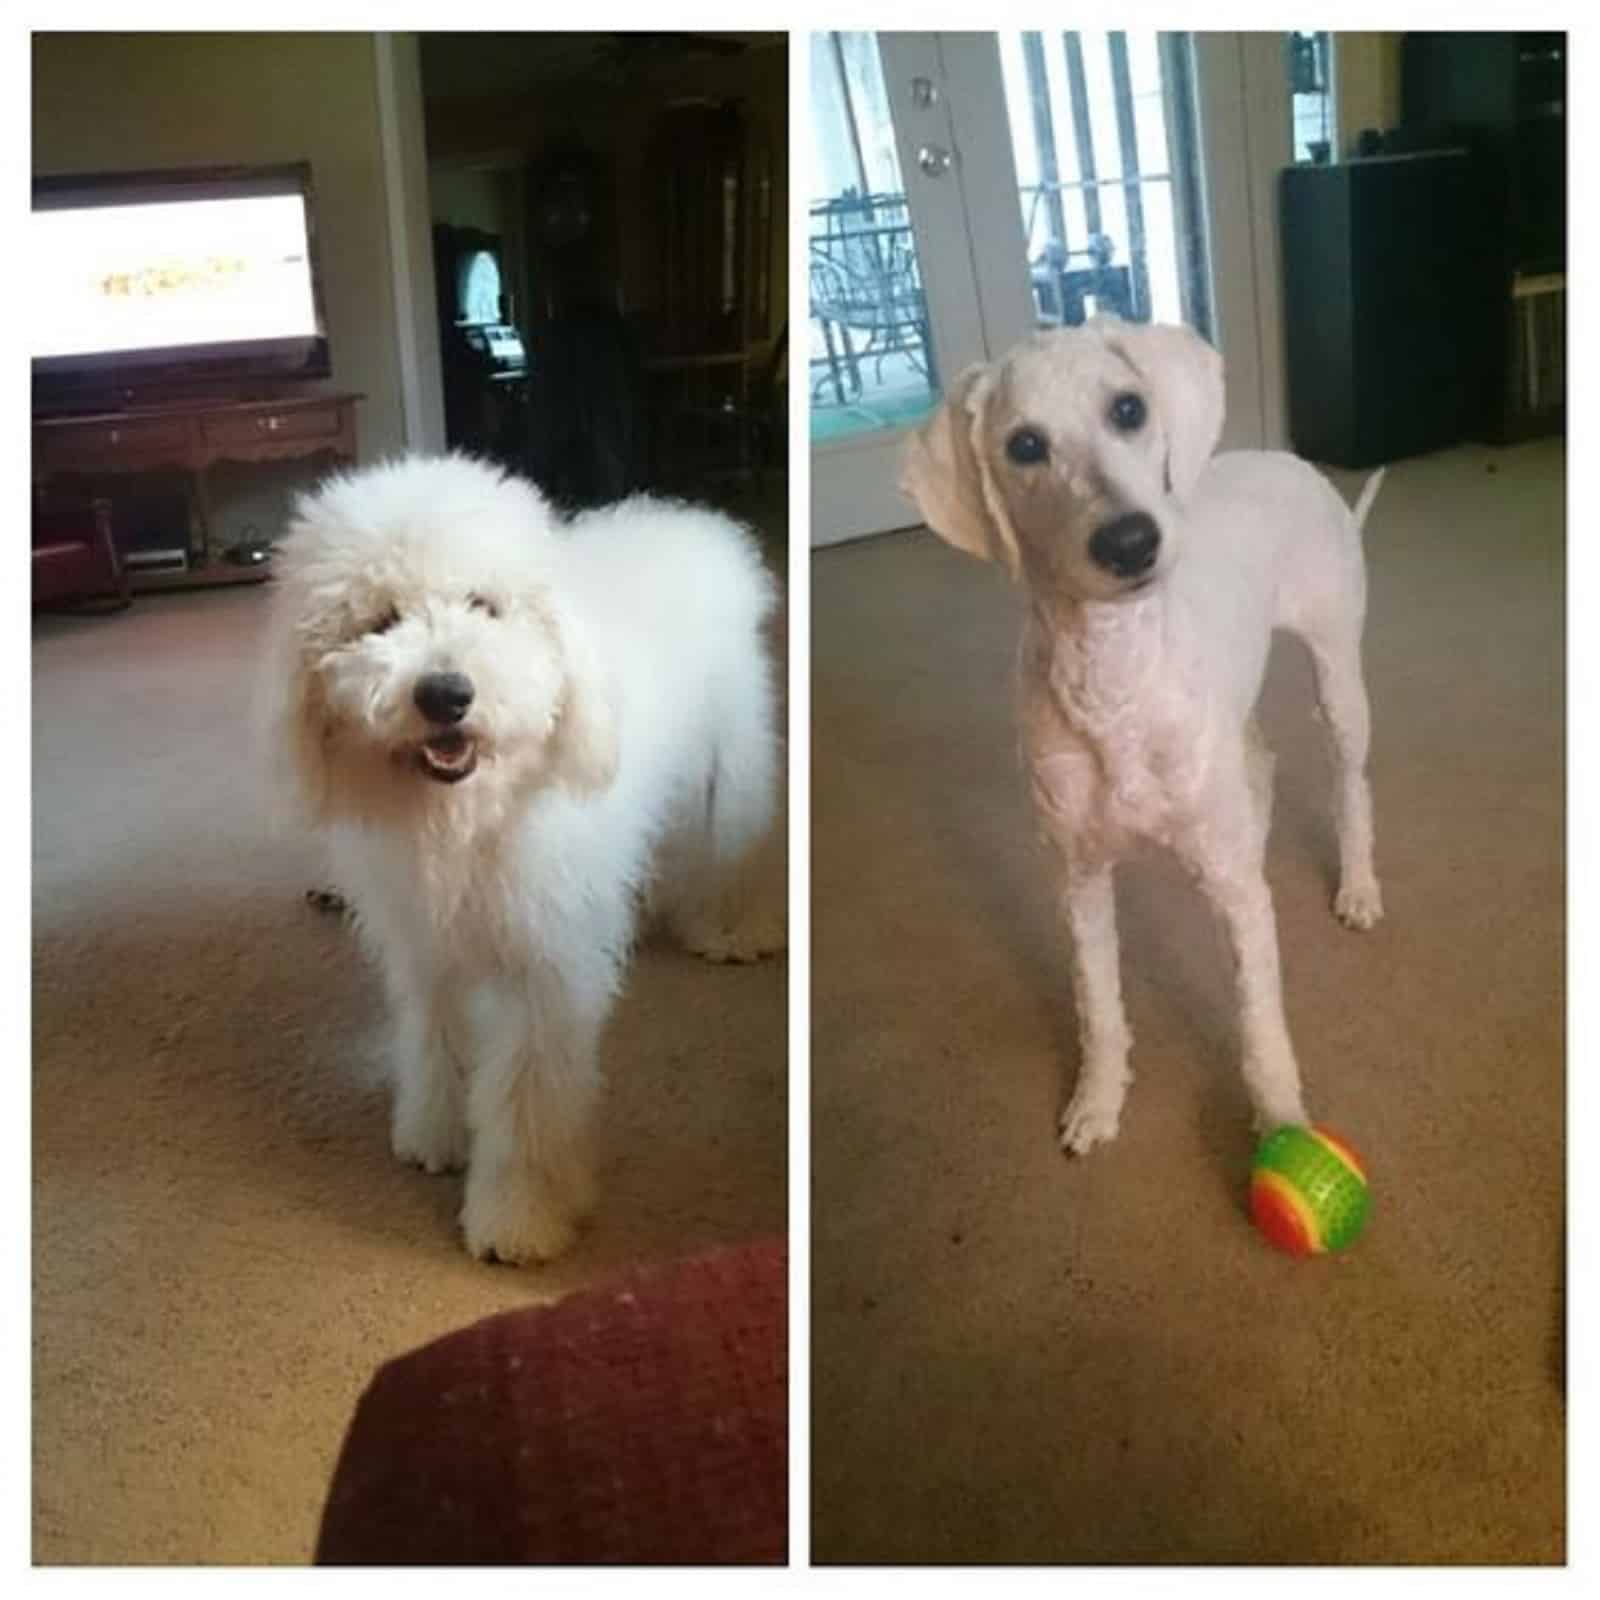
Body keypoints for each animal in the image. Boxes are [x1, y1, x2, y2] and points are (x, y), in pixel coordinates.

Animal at [260, 454, 780, 1260]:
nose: (446, 693)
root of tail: (694, 526)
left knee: (724, 851)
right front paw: (435, 1134)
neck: (466, 818)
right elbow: (433, 1034)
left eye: (485, 606)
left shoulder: (545, 967)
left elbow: (528, 1100)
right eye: (382, 619)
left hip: (726, 771)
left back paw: (728, 929)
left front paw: (519, 1219)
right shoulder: (424, 943)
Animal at [902, 318, 1388, 1158]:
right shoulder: (1079, 884)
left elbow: (1260, 1025)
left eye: (1128, 408)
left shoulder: (1237, 909)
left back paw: (1357, 886)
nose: (1129, 541)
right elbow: (1099, 1010)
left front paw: (1282, 1120)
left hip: (1337, 678)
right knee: (1260, 762)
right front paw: (1098, 1102)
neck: (1113, 677)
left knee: (1347, 783)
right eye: (1024, 446)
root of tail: (1285, 456)